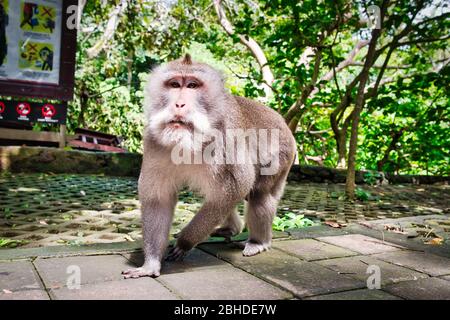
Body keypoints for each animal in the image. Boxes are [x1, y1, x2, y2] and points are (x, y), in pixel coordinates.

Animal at [122, 54, 296, 278]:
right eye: (174, 84)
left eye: (193, 85)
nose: (179, 104)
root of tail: (284, 123)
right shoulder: (154, 141)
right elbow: (158, 199)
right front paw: (150, 264)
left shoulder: (226, 136)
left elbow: (238, 185)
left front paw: (185, 242)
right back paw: (232, 228)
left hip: (281, 155)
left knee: (259, 195)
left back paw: (258, 242)